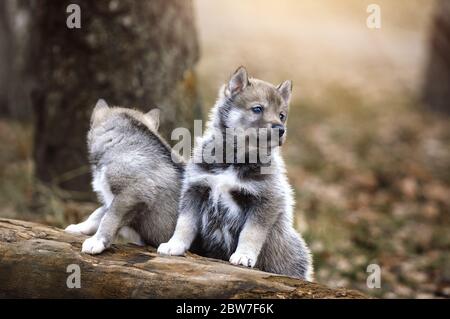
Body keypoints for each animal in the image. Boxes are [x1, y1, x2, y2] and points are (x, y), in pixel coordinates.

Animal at [64, 100, 183, 255]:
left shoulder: (132, 193)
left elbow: (108, 218)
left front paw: (96, 241)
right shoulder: (113, 198)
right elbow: (97, 213)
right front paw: (78, 227)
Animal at [158, 67, 312, 280]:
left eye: (282, 115)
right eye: (258, 109)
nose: (280, 130)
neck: (234, 159)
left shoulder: (265, 201)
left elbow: (251, 233)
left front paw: (244, 256)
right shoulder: (195, 189)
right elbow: (184, 223)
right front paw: (174, 245)